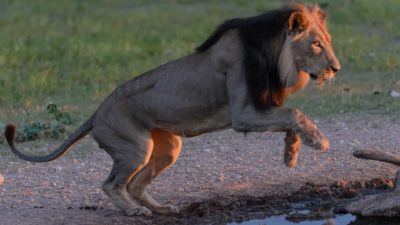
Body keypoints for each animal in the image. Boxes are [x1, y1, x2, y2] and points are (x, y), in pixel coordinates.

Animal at [3, 3, 340, 216]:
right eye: (316, 45)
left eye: (328, 41)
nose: (336, 68)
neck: (277, 56)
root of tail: (96, 113)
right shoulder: (243, 113)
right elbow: (293, 113)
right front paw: (319, 141)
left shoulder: (261, 106)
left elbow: (289, 119)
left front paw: (292, 153)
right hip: (135, 147)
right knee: (111, 184)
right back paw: (134, 212)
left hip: (167, 148)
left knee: (136, 184)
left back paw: (162, 209)